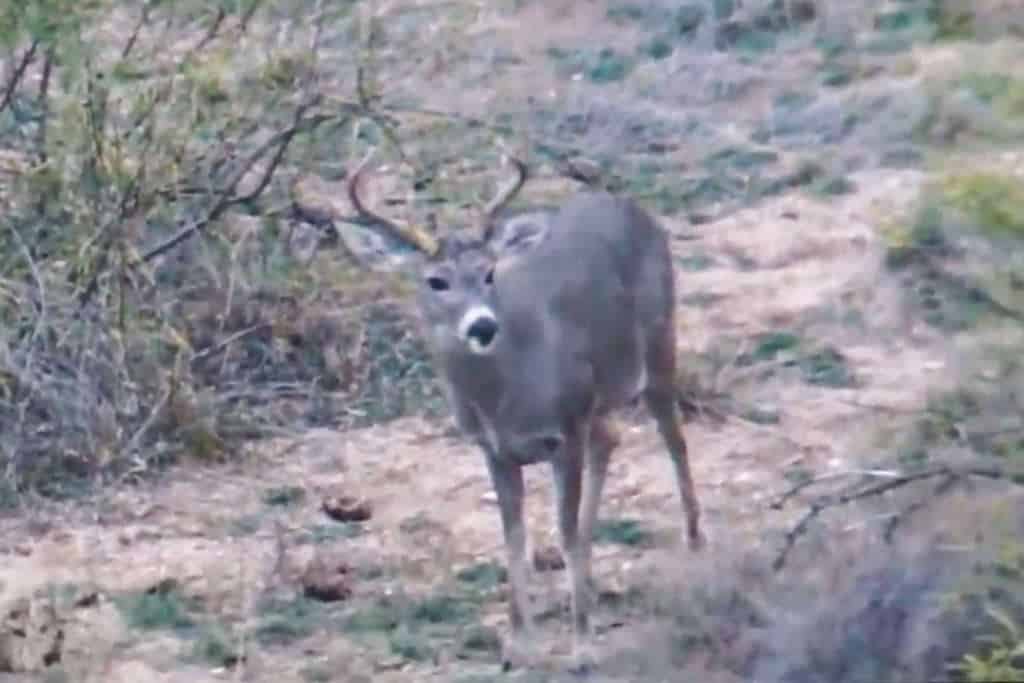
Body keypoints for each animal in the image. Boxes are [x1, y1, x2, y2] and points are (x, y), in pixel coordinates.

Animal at [347, 150, 705, 673]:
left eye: (490, 272)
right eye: (436, 281)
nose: (482, 326)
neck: (504, 397)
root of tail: (626, 204)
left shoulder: (566, 427)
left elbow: (564, 530)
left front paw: (581, 648)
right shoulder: (494, 449)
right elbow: (514, 540)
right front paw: (519, 645)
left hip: (660, 340)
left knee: (674, 438)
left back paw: (695, 543)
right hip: (601, 394)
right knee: (611, 440)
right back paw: (591, 580)